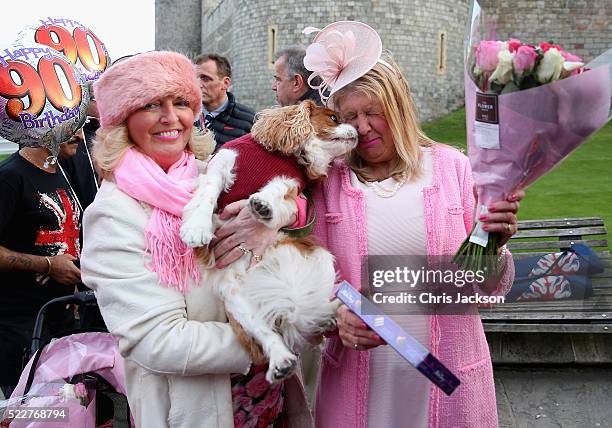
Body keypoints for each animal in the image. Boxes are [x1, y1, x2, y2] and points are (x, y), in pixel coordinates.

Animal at [179, 100, 356, 382]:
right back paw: (281, 360)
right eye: (333, 118)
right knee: (265, 331)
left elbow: (275, 189)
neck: (288, 155)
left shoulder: (290, 183)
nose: (358, 130)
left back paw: (335, 314)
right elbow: (209, 190)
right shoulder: (224, 159)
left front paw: (263, 206)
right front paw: (197, 226)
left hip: (321, 258)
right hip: (236, 299)